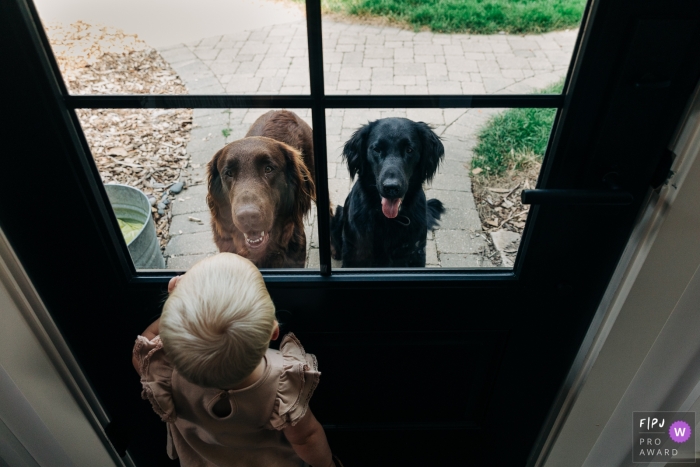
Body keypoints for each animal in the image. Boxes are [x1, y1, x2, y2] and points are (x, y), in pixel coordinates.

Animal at [330, 119, 446, 268]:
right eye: (377, 149)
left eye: (409, 150)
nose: (391, 187)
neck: (388, 220)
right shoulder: (356, 254)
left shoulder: (415, 253)